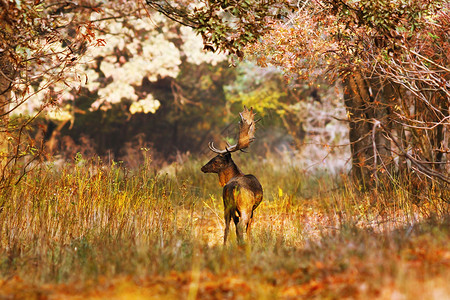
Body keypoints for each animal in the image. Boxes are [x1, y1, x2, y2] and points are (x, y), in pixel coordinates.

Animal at [201, 106, 264, 245]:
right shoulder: (252, 209)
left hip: (227, 205)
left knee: (227, 226)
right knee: (240, 226)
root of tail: (233, 188)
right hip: (245, 207)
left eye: (216, 160)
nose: (203, 167)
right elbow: (249, 228)